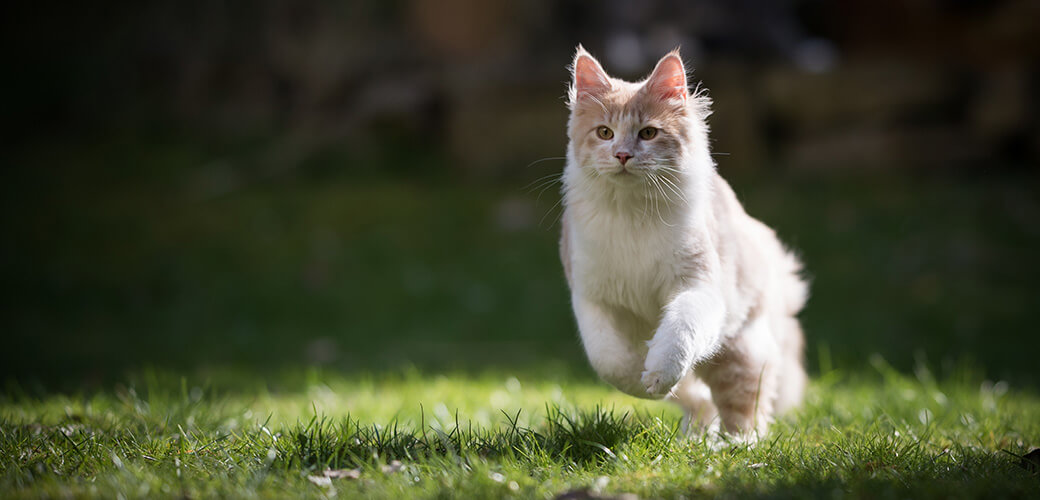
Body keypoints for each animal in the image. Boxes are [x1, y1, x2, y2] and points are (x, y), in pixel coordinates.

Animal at [557, 46, 807, 436]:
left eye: (648, 133)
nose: (622, 155)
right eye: (604, 132)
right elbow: (609, 360)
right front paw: (640, 378)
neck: (633, 213)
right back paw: (694, 438)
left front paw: (657, 374)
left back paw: (732, 444)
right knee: (700, 400)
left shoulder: (698, 287)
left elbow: (678, 335)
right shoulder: (592, 298)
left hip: (741, 349)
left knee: (745, 409)